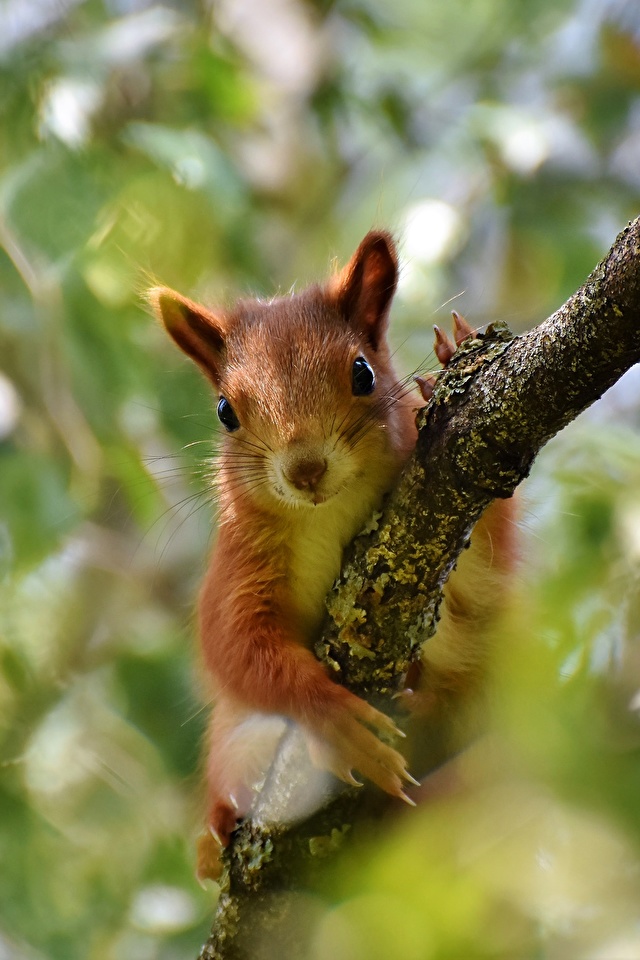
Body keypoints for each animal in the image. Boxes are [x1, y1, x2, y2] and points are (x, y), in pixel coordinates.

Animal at [149, 231, 516, 876]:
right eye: (225, 411)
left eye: (363, 372)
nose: (306, 469)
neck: (327, 512)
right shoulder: (238, 566)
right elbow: (237, 648)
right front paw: (334, 718)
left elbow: (485, 565)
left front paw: (447, 368)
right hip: (231, 742)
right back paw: (214, 839)